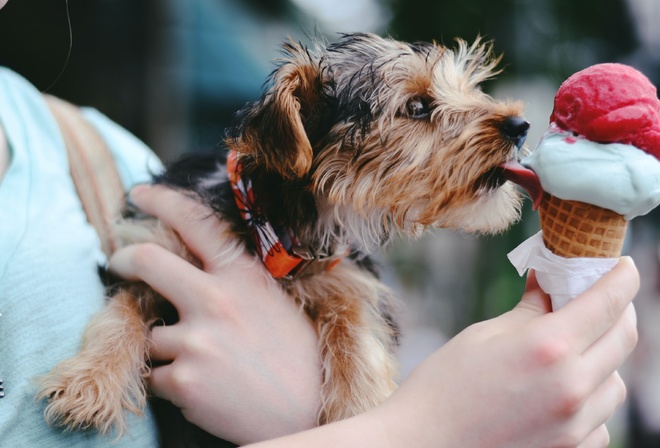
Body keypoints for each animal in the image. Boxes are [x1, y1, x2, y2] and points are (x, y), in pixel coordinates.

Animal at [36, 32, 532, 438]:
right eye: (417, 107)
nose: (520, 125)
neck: (272, 225)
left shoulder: (346, 275)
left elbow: (356, 326)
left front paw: (359, 407)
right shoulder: (152, 246)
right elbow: (123, 309)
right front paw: (90, 381)